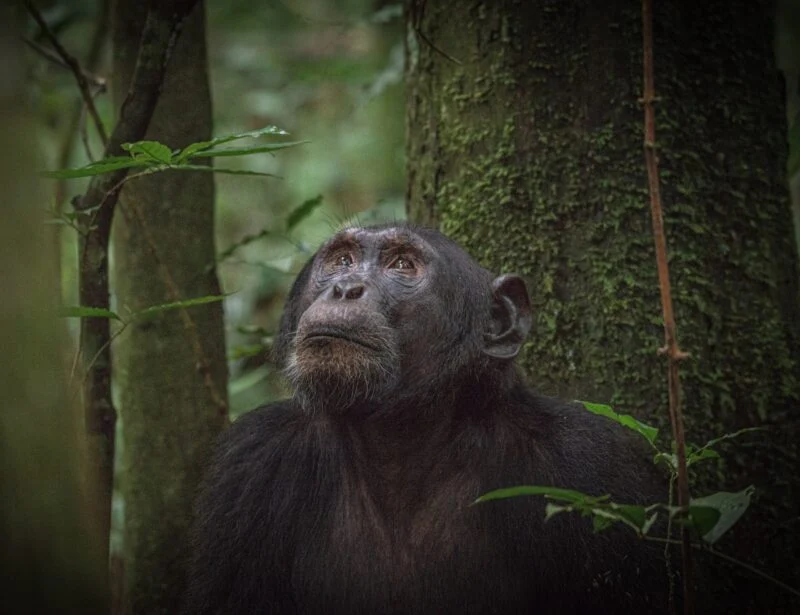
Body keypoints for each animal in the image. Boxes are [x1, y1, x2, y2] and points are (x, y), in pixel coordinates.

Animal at [184, 225, 672, 615]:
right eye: (341, 259)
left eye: (403, 264)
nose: (345, 287)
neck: (401, 435)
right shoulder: (249, 466)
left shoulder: (592, 472)